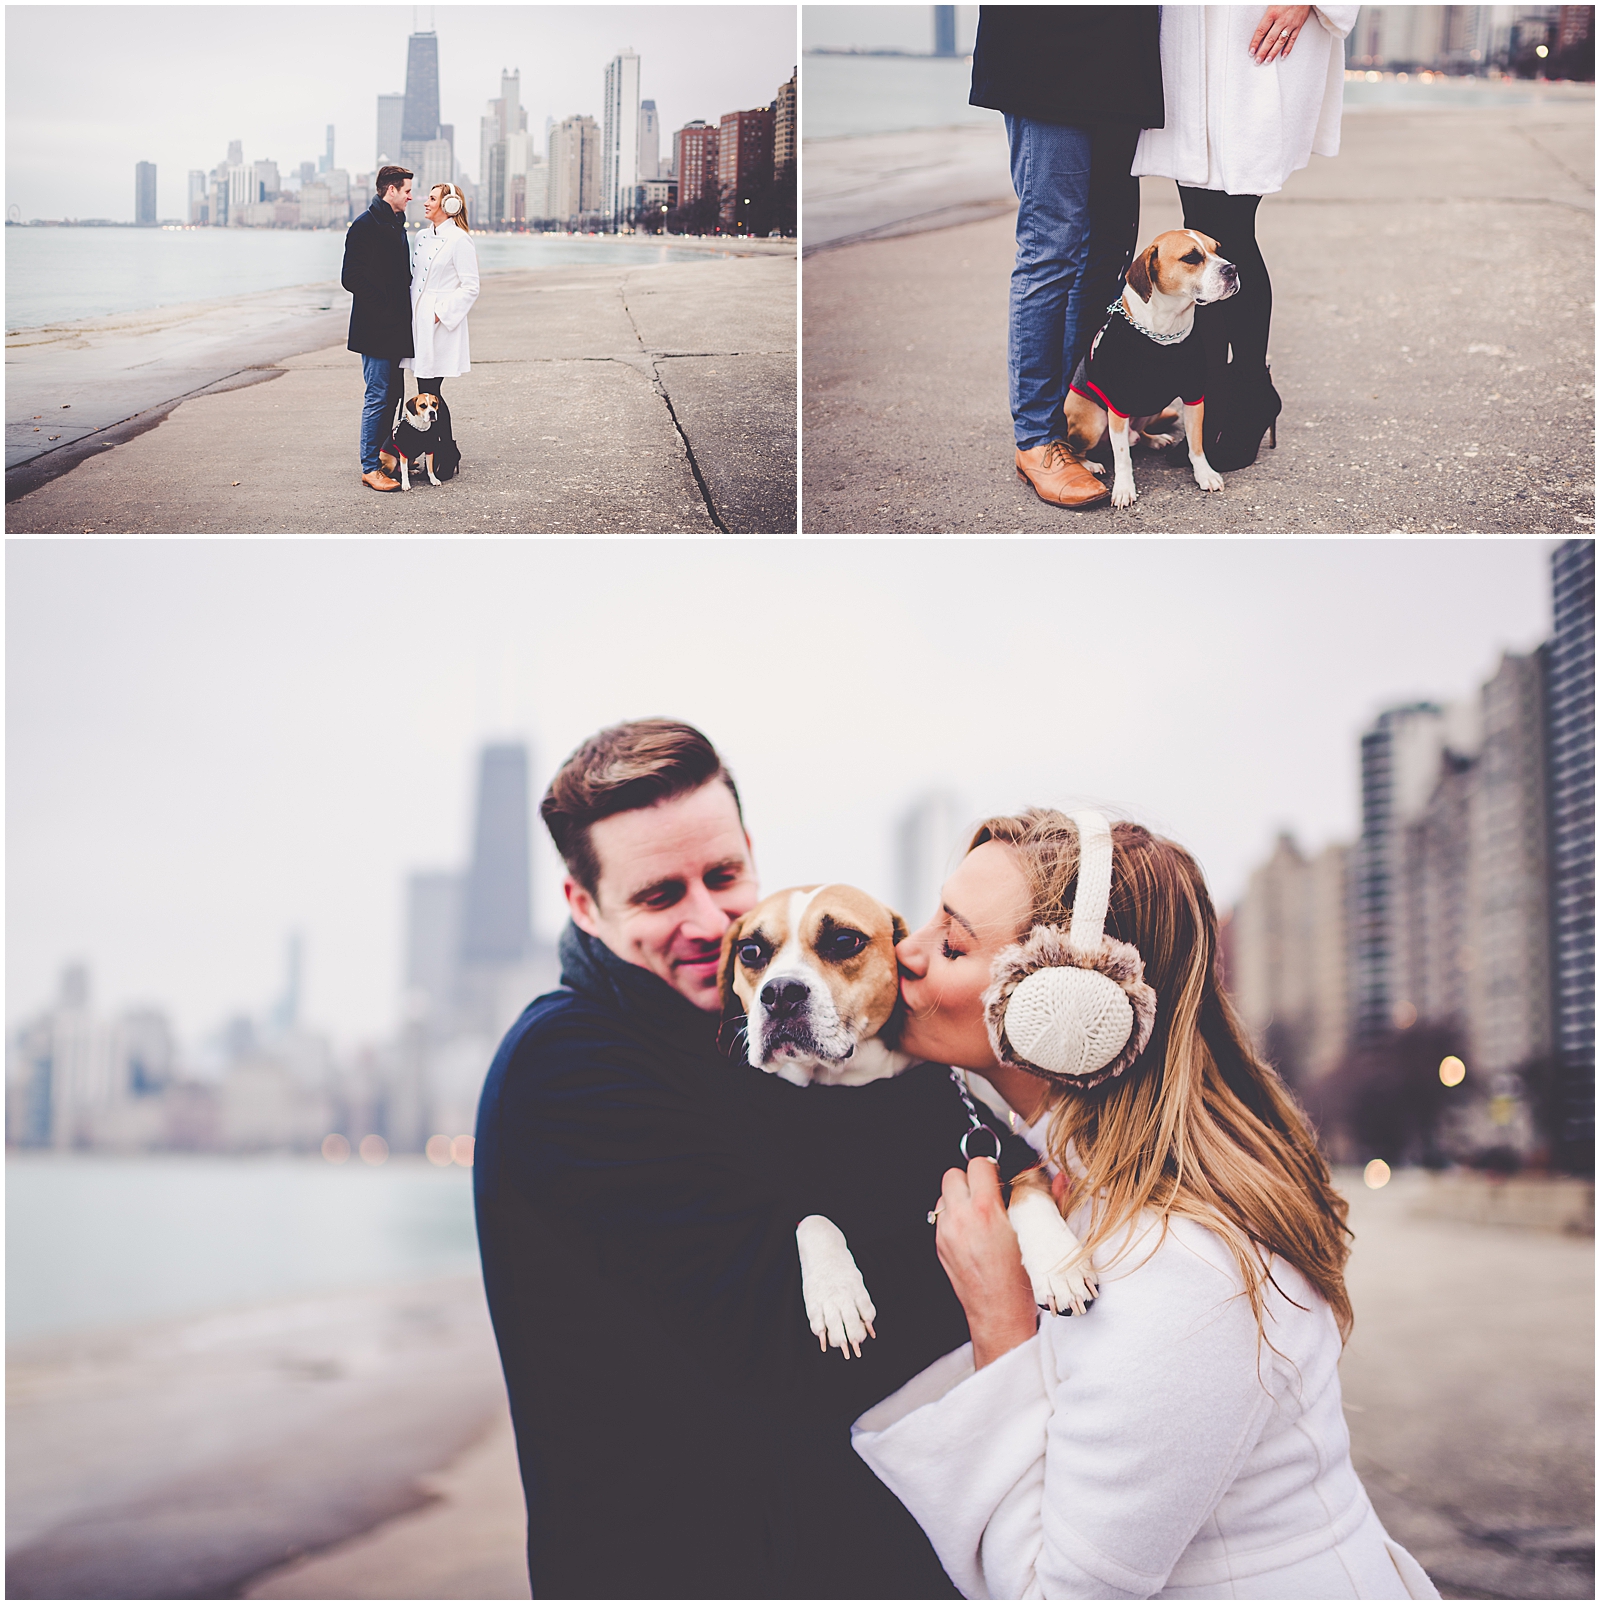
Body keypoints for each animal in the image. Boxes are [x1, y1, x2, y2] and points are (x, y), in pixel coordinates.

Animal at [722, 885, 1097, 1361]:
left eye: (843, 941)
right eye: (751, 951)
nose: (780, 991)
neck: (849, 1090)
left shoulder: (1005, 1148)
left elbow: (1028, 1192)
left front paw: (1057, 1261)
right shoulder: (789, 1196)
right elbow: (813, 1219)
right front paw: (836, 1293)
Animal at [1065, 227, 1245, 507]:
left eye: (1217, 249)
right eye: (1191, 257)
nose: (1232, 268)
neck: (1166, 329)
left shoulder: (1194, 396)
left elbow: (1196, 443)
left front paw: (1204, 473)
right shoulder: (1117, 405)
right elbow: (1122, 457)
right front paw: (1124, 488)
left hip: (1153, 407)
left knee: (1136, 435)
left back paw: (1154, 439)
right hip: (1091, 424)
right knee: (1081, 447)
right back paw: (1090, 464)